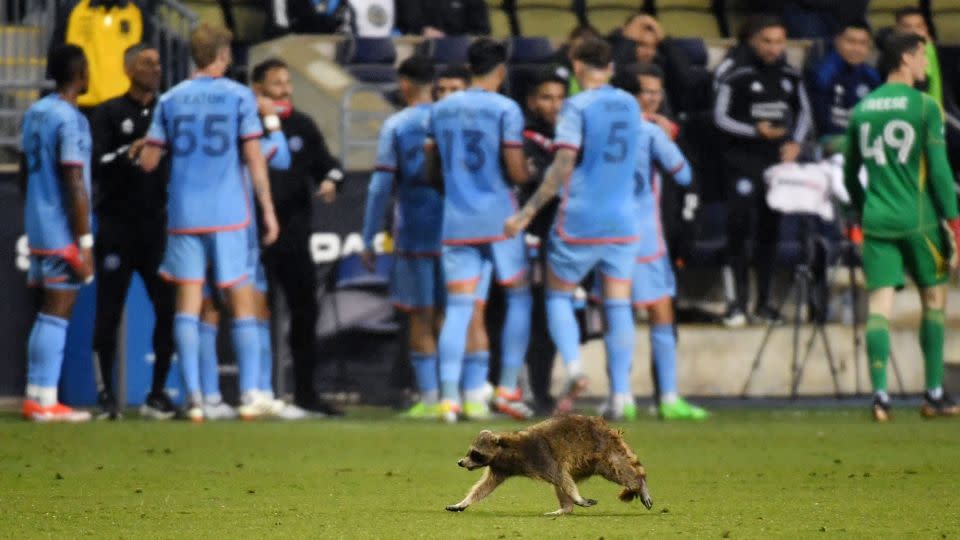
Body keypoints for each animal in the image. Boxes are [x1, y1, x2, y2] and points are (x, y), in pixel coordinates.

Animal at [448, 414, 656, 516]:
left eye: (475, 454)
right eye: (469, 452)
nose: (460, 462)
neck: (506, 449)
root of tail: (606, 428)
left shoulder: (540, 455)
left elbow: (558, 473)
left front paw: (578, 498)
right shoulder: (501, 468)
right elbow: (484, 487)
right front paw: (464, 502)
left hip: (601, 451)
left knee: (617, 471)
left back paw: (639, 483)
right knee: (562, 483)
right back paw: (566, 508)